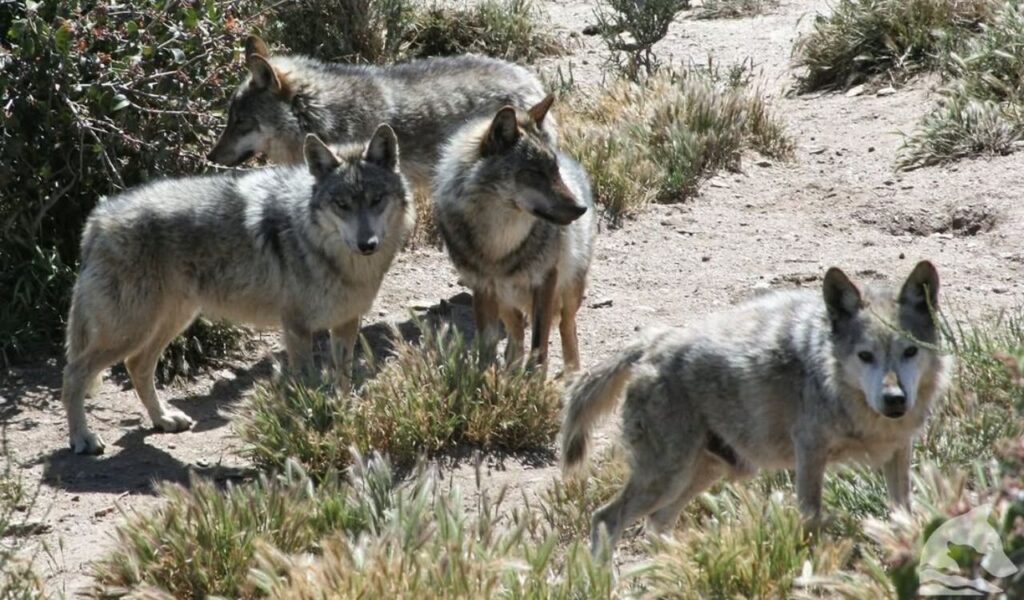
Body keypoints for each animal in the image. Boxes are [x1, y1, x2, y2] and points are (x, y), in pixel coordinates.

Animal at [61, 125, 414, 455]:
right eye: (342, 205)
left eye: (376, 200)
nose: (367, 244)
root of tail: (98, 217)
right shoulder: (297, 327)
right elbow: (308, 383)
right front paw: (313, 422)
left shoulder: (346, 322)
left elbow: (342, 379)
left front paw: (343, 415)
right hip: (131, 331)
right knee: (74, 373)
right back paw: (83, 438)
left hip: (169, 323)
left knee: (136, 365)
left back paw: (163, 419)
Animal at [433, 96, 596, 372]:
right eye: (535, 172)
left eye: (555, 170)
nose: (581, 207)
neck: (499, 245)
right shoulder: (483, 288)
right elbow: (487, 345)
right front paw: (486, 376)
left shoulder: (546, 280)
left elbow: (540, 344)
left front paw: (534, 379)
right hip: (506, 301)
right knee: (517, 333)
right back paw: (511, 370)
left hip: (570, 290)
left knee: (566, 326)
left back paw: (572, 372)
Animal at [560, 261, 951, 556]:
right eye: (865, 356)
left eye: (910, 351)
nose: (895, 400)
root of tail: (650, 343)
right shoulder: (809, 453)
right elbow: (810, 518)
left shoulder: (898, 451)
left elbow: (903, 513)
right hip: (667, 477)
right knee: (605, 519)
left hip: (699, 475)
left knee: (656, 523)